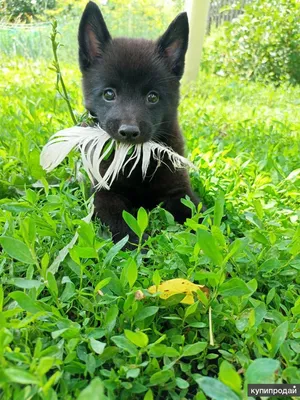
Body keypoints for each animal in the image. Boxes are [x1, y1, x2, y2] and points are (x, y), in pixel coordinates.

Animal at [78, 0, 199, 241]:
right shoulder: (105, 193)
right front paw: (136, 245)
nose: (129, 132)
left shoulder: (180, 191)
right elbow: (120, 221)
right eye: (109, 94)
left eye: (152, 97)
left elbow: (201, 220)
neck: (134, 159)